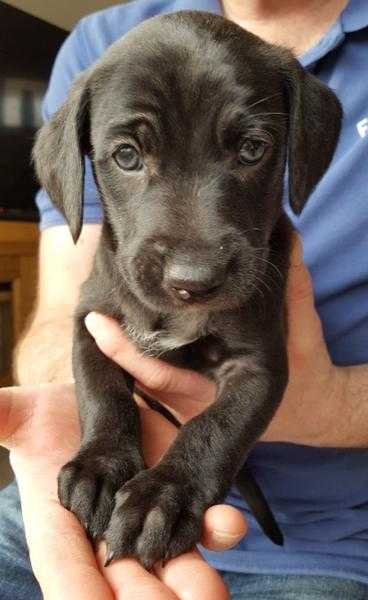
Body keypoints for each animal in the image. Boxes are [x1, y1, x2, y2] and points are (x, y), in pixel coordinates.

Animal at [33, 11, 340, 568]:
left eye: (253, 149)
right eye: (127, 156)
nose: (193, 280)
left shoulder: (259, 363)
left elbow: (216, 426)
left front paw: (164, 496)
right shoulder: (90, 320)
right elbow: (101, 390)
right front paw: (100, 466)